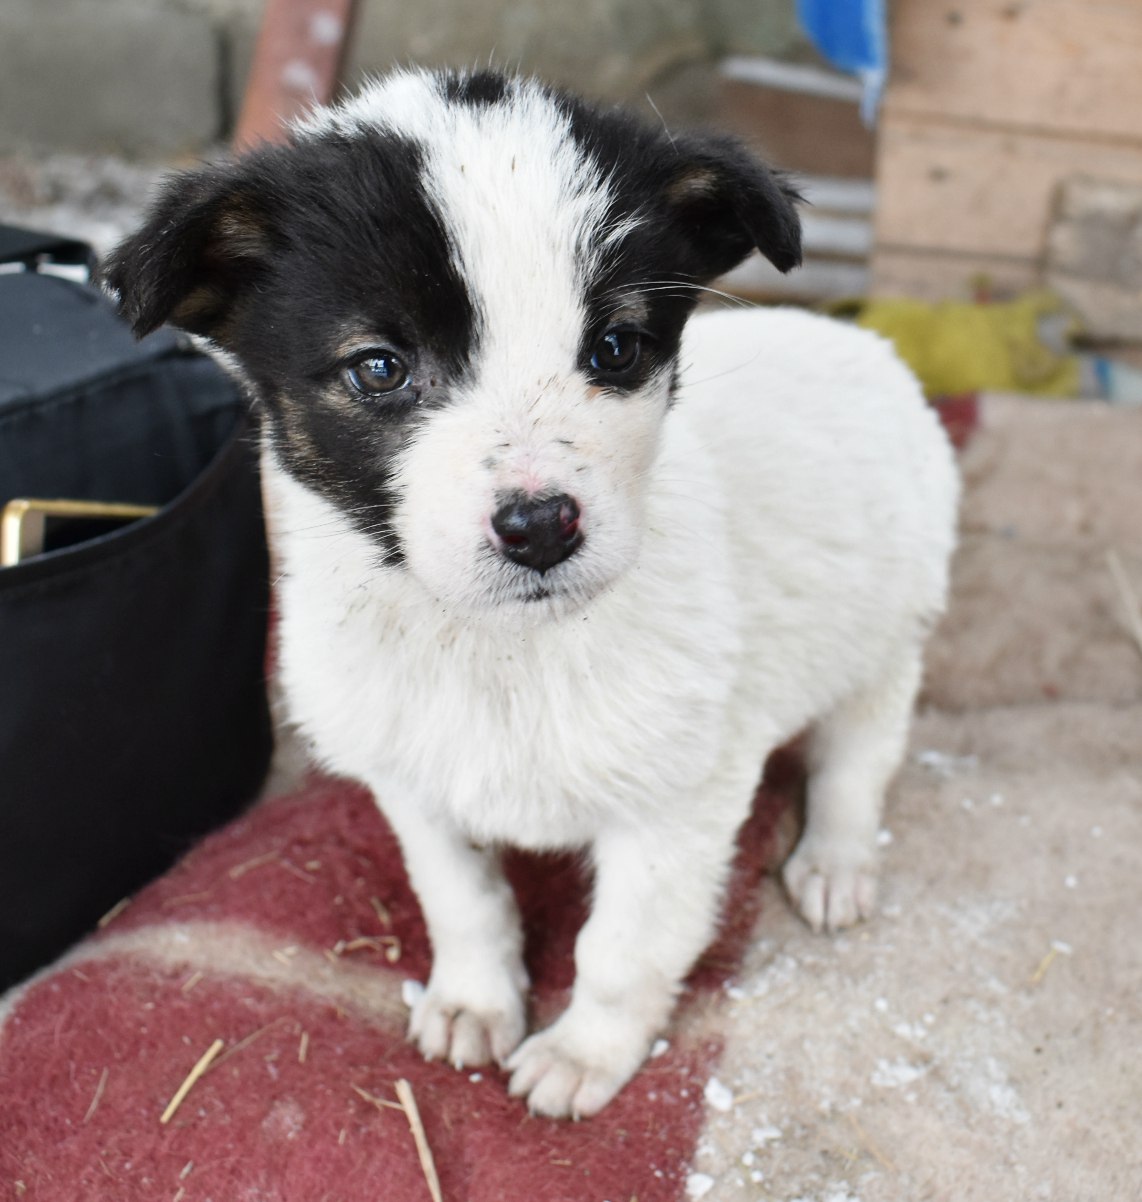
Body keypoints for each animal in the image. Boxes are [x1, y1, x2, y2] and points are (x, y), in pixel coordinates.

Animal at [106, 65, 961, 1115]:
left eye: (617, 349)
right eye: (379, 367)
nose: (543, 527)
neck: (499, 652)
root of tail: (857, 344)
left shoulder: (677, 802)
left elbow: (622, 948)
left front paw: (584, 1055)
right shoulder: (415, 782)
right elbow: (463, 901)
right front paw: (476, 1001)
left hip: (890, 636)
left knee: (857, 761)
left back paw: (835, 863)